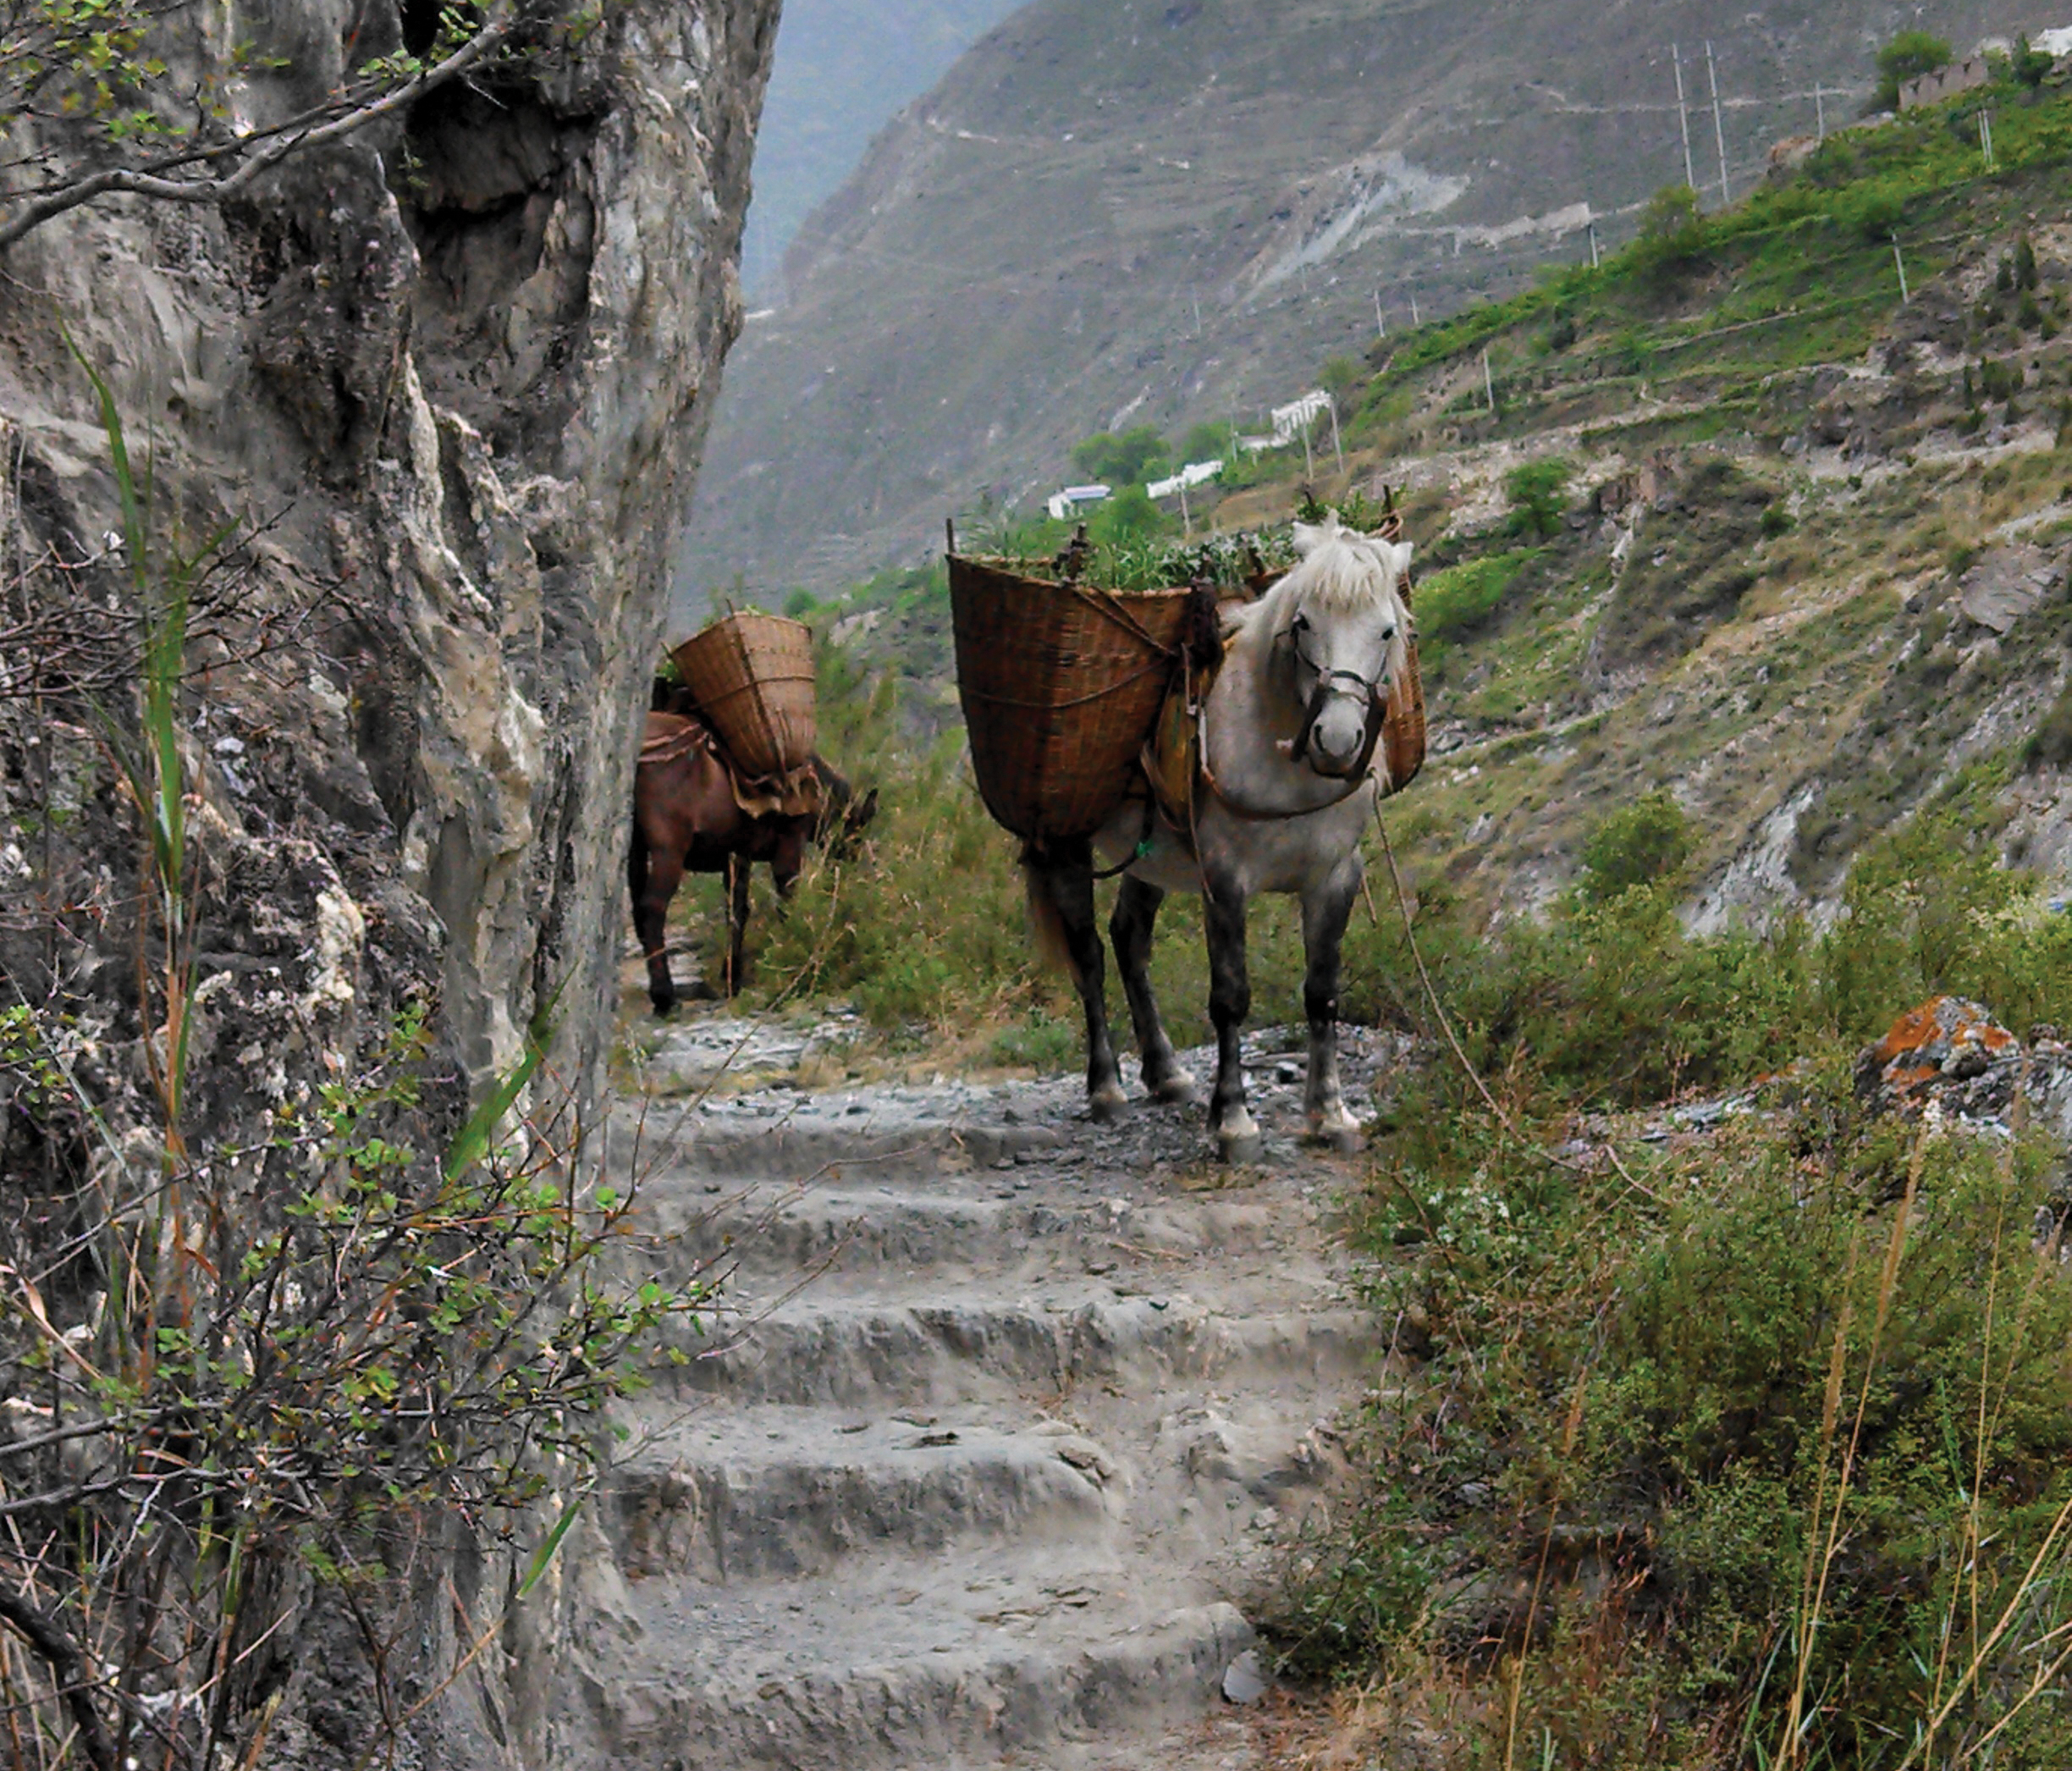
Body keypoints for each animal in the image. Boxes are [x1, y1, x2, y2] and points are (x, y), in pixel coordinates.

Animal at [630, 700, 874, 1018]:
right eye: (857, 832)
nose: (855, 865)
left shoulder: (738, 856)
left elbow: (737, 912)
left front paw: (732, 976)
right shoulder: (789, 845)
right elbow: (785, 902)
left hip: (635, 848)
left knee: (637, 909)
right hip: (668, 848)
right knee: (653, 908)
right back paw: (664, 996)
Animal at [1028, 516, 1417, 1160]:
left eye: (1386, 629)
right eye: (1303, 622)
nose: (1336, 741)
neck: (1281, 759)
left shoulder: (1334, 877)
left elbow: (1322, 991)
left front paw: (1329, 1114)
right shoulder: (1226, 880)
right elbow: (1230, 997)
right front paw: (1233, 1120)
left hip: (1151, 859)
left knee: (1129, 940)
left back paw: (1165, 1073)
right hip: (1066, 843)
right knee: (1089, 955)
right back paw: (1106, 1088)